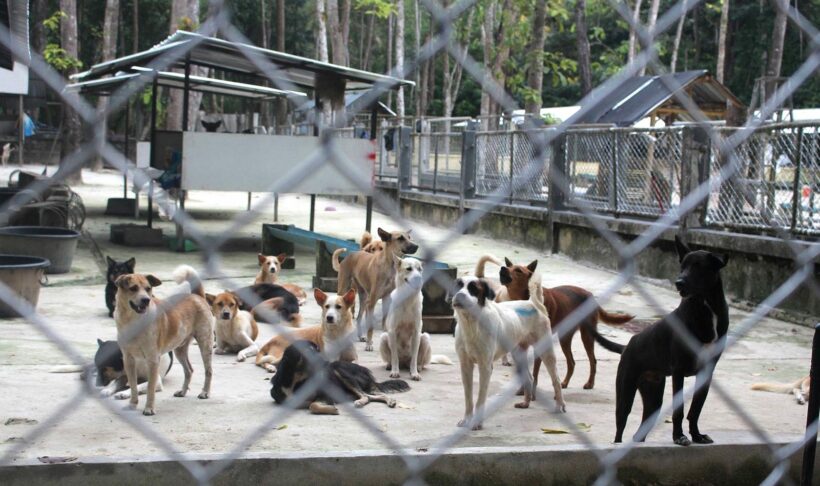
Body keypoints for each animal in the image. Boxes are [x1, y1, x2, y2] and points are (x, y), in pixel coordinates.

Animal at [115, 264, 218, 416]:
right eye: (133, 288)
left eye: (148, 288)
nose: (146, 300)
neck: (133, 321)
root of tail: (196, 296)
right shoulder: (128, 360)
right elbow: (133, 386)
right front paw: (132, 404)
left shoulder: (152, 360)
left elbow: (150, 388)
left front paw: (149, 408)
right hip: (179, 350)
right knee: (189, 370)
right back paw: (182, 392)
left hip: (205, 344)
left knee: (208, 370)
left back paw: (205, 392)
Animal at [270, 340, 410, 416]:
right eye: (307, 352)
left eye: (317, 350)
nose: (325, 362)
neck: (295, 381)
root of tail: (364, 370)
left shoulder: (325, 395)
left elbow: (313, 405)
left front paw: (332, 409)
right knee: (371, 396)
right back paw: (388, 400)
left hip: (341, 372)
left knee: (366, 396)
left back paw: (363, 402)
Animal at [452, 274, 568, 430]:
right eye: (457, 286)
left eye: (474, 289)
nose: (459, 295)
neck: (471, 324)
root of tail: (533, 303)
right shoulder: (465, 366)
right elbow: (468, 398)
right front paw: (466, 419)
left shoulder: (485, 367)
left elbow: (480, 399)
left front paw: (477, 422)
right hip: (517, 353)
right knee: (529, 377)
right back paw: (526, 403)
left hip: (546, 352)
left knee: (556, 380)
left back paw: (560, 405)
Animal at [474, 254, 636, 388]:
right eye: (509, 266)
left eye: (518, 270)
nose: (503, 268)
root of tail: (590, 295)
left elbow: (535, 370)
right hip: (565, 337)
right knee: (572, 362)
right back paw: (564, 383)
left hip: (587, 335)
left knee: (592, 360)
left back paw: (589, 384)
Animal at [596, 237, 732, 446]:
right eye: (682, 266)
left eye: (699, 266)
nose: (679, 283)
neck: (706, 307)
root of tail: (627, 346)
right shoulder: (679, 371)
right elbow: (679, 410)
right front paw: (679, 437)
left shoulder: (706, 372)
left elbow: (696, 409)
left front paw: (697, 435)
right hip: (626, 392)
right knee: (620, 426)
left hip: (653, 399)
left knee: (640, 433)